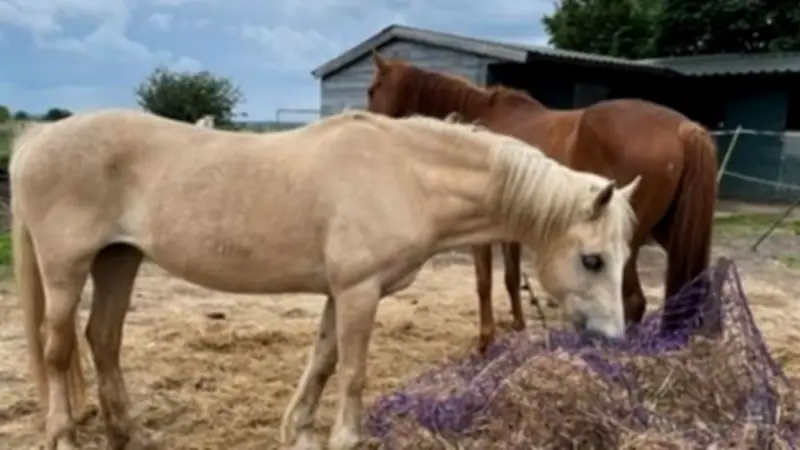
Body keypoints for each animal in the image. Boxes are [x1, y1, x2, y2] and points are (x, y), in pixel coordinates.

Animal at [11, 108, 640, 450]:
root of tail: (33, 142)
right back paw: (64, 433)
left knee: (103, 339)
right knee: (58, 349)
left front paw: (299, 429)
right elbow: (354, 370)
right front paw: (345, 436)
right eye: (593, 260)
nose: (613, 341)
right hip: (67, 269)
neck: (406, 173)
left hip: (119, 259)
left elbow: (323, 359)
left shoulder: (342, 293)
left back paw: (127, 433)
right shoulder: (359, 291)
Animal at [367, 52, 718, 353]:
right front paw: (519, 328)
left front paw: (485, 342)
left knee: (633, 301)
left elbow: (484, 282)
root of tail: (685, 128)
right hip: (670, 232)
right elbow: (510, 279)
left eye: (372, 90)